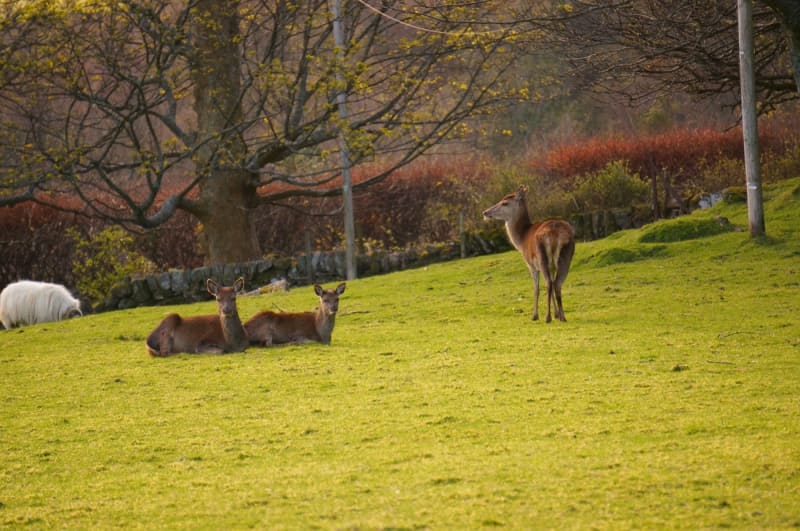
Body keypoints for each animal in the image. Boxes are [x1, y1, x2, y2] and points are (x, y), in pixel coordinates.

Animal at [483, 186, 576, 323]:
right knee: (557, 283)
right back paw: (562, 317)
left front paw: (535, 315)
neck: (521, 240)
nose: (485, 212)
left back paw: (547, 317)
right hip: (567, 255)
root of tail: (555, 233)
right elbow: (552, 282)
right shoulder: (552, 266)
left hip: (542, 257)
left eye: (505, 203)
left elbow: (536, 289)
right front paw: (556, 314)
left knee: (549, 283)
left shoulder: (530, 264)